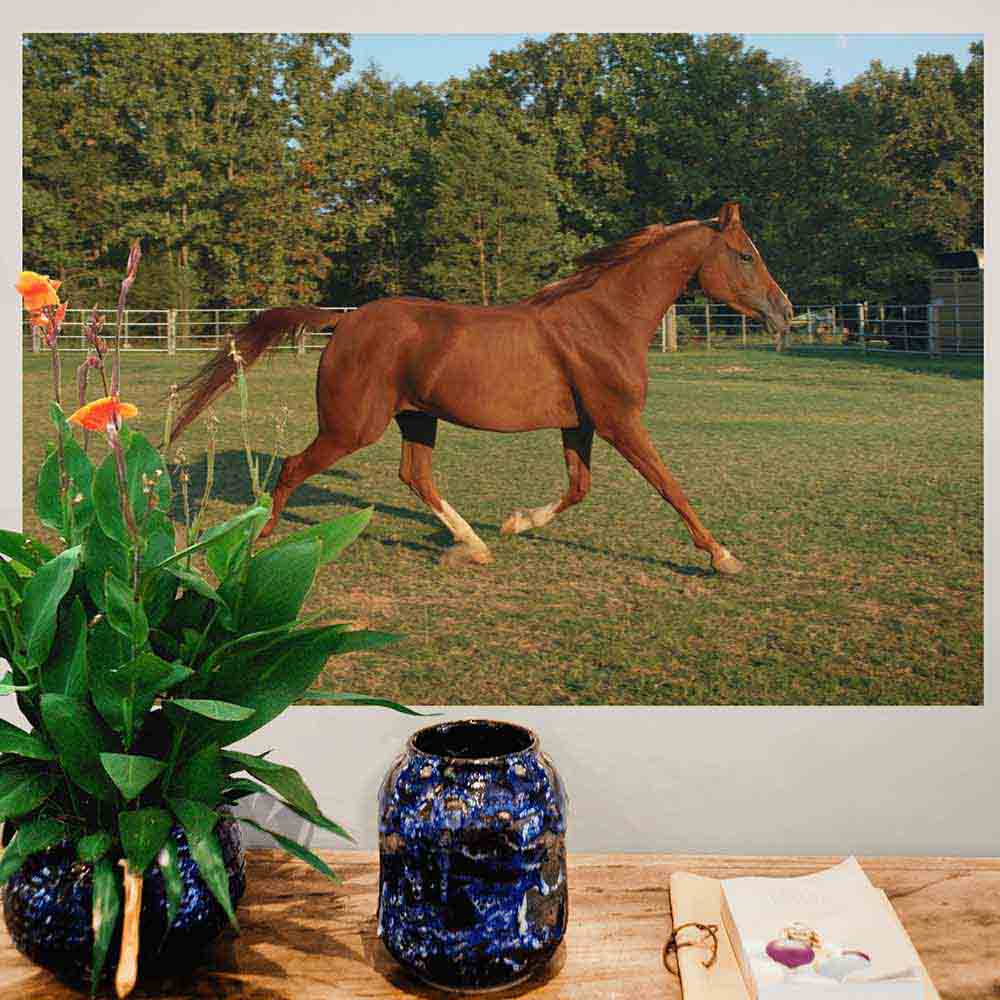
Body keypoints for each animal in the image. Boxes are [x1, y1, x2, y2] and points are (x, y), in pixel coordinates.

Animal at [171, 202, 792, 574]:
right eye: (745, 255)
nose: (784, 312)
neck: (604, 320)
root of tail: (344, 321)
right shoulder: (619, 421)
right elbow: (669, 485)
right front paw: (722, 556)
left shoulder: (581, 424)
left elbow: (579, 488)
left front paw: (518, 522)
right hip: (352, 426)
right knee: (295, 466)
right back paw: (260, 539)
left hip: (417, 417)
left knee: (414, 476)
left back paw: (472, 544)